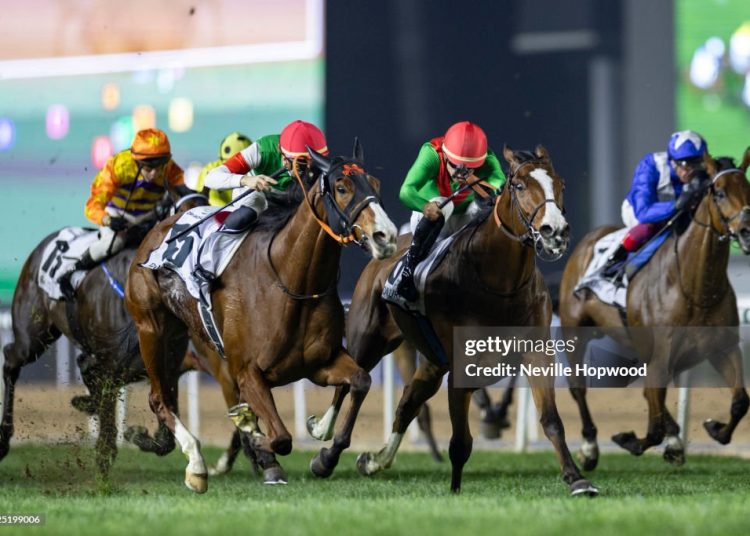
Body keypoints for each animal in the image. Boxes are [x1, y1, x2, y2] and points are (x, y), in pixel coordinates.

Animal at [0, 187, 223, 478]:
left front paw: (137, 435)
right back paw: (3, 439)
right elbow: (107, 429)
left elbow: (165, 438)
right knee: (11, 359)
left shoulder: (165, 369)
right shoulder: (108, 366)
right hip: (33, 334)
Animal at [125, 142, 398, 493]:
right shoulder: (248, 371)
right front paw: (257, 441)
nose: (386, 235)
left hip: (181, 337)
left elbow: (361, 382)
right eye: (342, 187)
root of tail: (155, 233)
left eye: (375, 184)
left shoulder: (321, 363)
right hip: (152, 329)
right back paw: (197, 464)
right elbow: (281, 437)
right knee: (160, 399)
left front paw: (324, 455)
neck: (292, 281)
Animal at [313, 146, 597, 495]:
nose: (554, 232)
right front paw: (455, 490)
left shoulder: (537, 353)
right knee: (351, 385)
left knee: (407, 403)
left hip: (431, 361)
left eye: (561, 184)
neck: (499, 281)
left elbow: (551, 420)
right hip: (368, 339)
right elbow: (461, 441)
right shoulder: (462, 365)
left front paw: (577, 478)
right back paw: (325, 447)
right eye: (519, 186)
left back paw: (374, 460)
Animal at [558, 151, 750, 471]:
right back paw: (589, 448)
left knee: (651, 395)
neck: (694, 285)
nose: (747, 230)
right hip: (575, 330)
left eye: (748, 189)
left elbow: (740, 401)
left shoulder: (723, 347)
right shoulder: (662, 351)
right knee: (579, 388)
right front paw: (628, 439)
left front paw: (714, 428)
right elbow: (653, 426)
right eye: (720, 192)